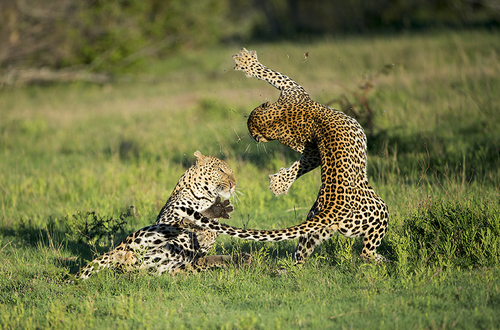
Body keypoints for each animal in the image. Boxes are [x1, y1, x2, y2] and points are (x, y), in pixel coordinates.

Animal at [76, 151, 252, 280]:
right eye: (221, 170)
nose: (233, 184)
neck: (206, 196)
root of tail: (117, 254)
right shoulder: (169, 215)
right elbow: (189, 220)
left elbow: (209, 235)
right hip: (142, 242)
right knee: (179, 226)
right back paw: (213, 211)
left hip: (169, 268)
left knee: (202, 261)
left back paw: (240, 258)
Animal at [186, 49, 388, 264]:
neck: (278, 118)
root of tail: (332, 210)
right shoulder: (294, 90)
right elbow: (272, 74)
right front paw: (248, 62)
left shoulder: (307, 141)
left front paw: (279, 183)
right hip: (379, 212)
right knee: (365, 253)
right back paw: (381, 260)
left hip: (314, 228)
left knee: (300, 255)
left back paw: (291, 268)